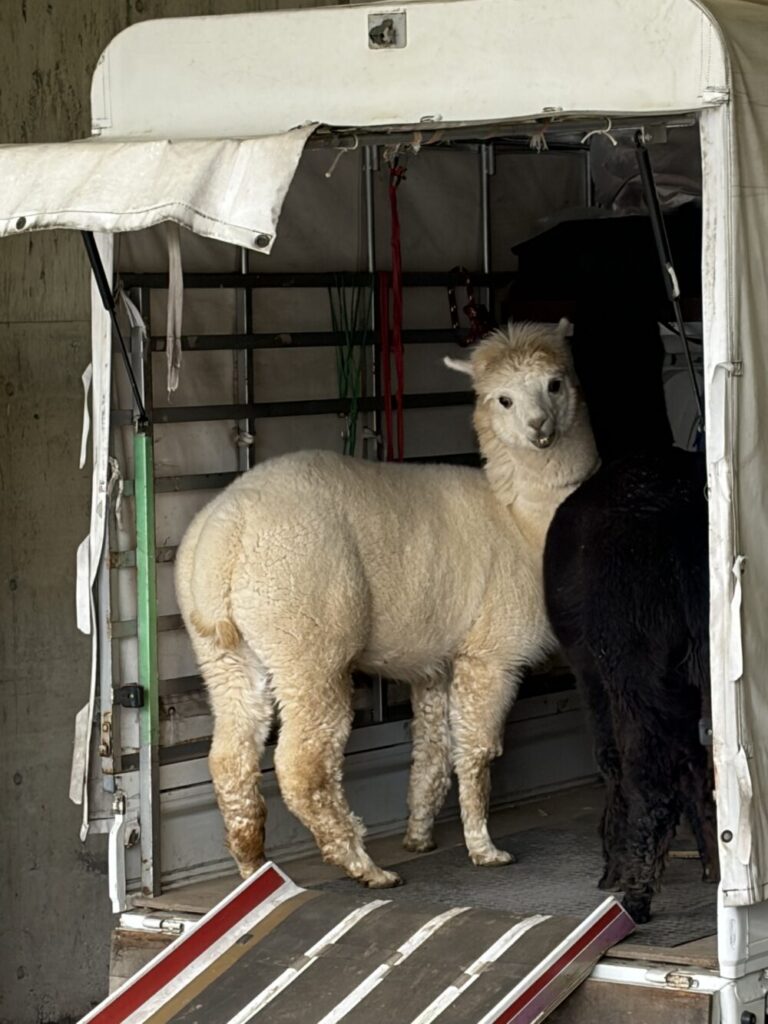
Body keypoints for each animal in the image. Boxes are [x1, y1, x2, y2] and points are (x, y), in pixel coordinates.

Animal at [175, 320, 598, 888]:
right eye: (503, 399)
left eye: (556, 383)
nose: (539, 428)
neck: (523, 525)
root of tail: (226, 535)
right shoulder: (491, 653)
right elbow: (477, 751)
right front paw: (485, 849)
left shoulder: (437, 662)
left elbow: (431, 754)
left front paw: (420, 837)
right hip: (308, 633)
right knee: (304, 762)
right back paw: (364, 866)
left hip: (225, 651)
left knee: (230, 756)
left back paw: (252, 869)